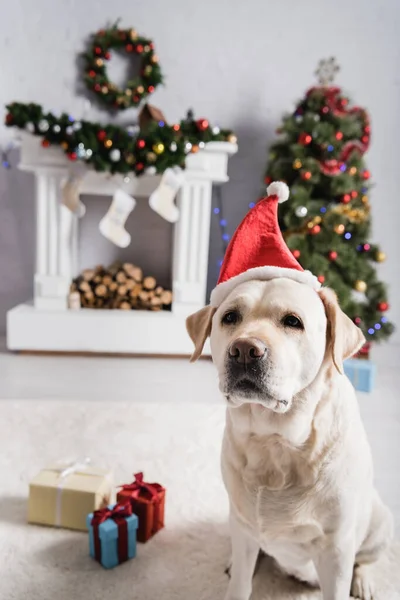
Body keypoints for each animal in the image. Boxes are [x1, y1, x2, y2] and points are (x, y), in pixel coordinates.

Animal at [188, 278, 394, 600]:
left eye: (293, 321)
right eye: (230, 317)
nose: (244, 349)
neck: (274, 440)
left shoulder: (336, 551)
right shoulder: (243, 527)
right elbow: (240, 585)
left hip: (381, 524)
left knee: (364, 560)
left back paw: (364, 581)